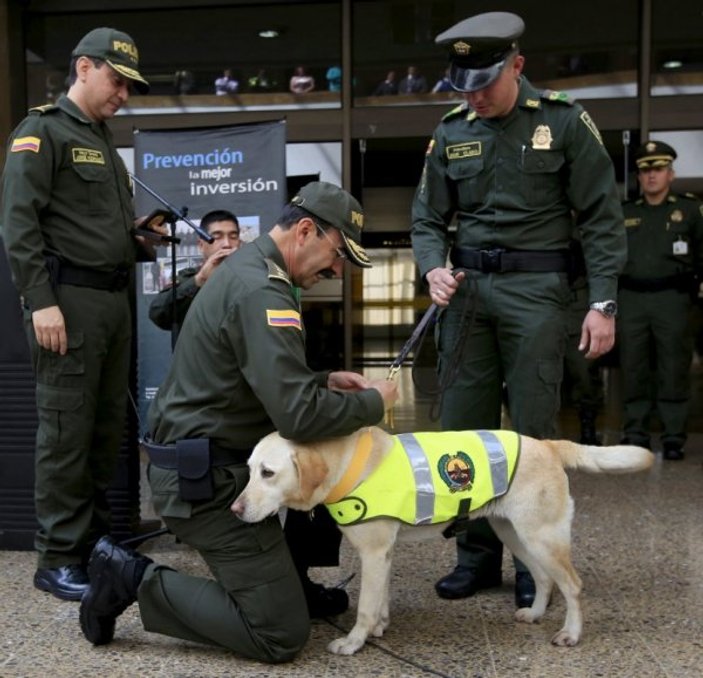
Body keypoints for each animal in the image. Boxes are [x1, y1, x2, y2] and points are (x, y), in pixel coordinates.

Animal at [232, 428, 656, 656]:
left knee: (572, 585)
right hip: (515, 533)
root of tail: (548, 444)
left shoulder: (373, 552)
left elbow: (366, 606)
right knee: (544, 579)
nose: (234, 509)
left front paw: (354, 642)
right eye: (249, 470)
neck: (346, 463)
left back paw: (571, 633)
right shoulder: (384, 553)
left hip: (542, 537)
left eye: (268, 473)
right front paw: (379, 627)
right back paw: (535, 613)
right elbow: (380, 600)